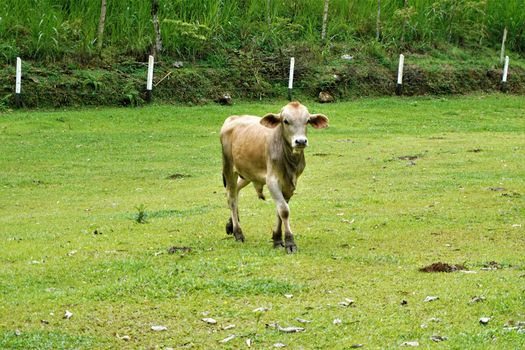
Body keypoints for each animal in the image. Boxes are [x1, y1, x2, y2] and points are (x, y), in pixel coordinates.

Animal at [220, 102, 328, 253]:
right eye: (286, 121)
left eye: (307, 121)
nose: (300, 141)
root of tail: (232, 118)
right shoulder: (272, 181)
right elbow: (284, 210)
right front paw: (289, 242)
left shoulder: (289, 185)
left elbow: (280, 211)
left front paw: (277, 239)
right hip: (229, 168)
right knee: (231, 198)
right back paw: (238, 233)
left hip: (246, 174)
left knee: (236, 191)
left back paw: (230, 224)